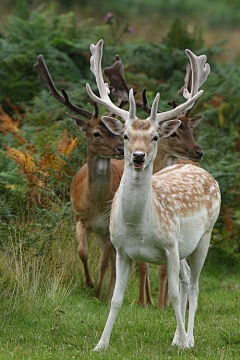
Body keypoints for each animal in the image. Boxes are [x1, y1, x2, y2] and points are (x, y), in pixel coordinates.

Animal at [33, 54, 125, 300]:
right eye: (96, 133)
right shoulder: (79, 218)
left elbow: (102, 262)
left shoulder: (107, 226)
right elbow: (82, 252)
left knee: (114, 260)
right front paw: (90, 283)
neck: (96, 206)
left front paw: (99, 291)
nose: (121, 148)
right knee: (112, 259)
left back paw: (110, 292)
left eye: (118, 131)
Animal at [86, 39, 221, 352]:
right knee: (186, 280)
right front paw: (101, 343)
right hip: (185, 248)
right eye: (125, 135)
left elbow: (172, 294)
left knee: (193, 285)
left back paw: (189, 338)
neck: (139, 228)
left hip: (203, 238)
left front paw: (183, 342)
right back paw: (176, 336)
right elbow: (116, 298)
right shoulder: (122, 250)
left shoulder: (170, 245)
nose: (138, 156)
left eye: (155, 137)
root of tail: (199, 169)